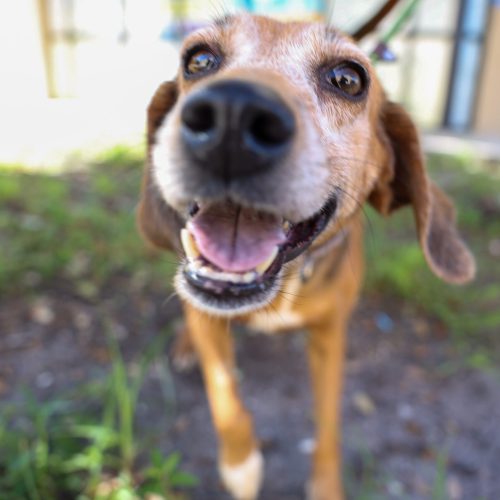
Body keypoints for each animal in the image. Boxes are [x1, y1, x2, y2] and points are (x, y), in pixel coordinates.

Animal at [139, 12, 474, 500]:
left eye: (348, 79)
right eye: (198, 60)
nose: (232, 114)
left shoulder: (330, 336)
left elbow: (329, 423)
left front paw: (326, 485)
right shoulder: (210, 322)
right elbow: (224, 390)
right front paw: (241, 464)